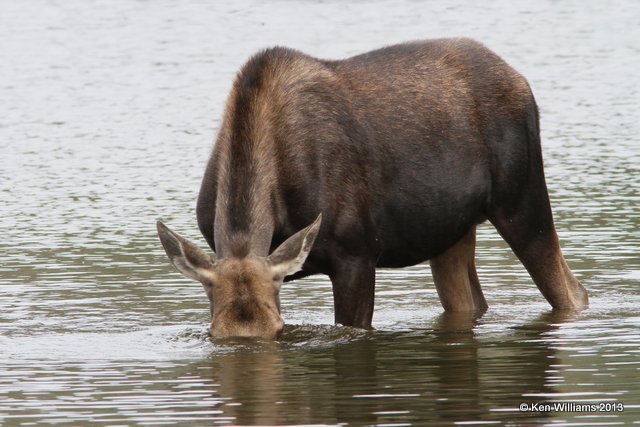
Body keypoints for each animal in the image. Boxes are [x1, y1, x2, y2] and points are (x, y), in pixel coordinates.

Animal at [158, 40, 588, 342]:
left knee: (573, 290)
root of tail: (521, 81)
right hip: (451, 232)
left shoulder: (358, 254)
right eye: (214, 333)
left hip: (523, 201)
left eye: (280, 329)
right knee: (472, 302)